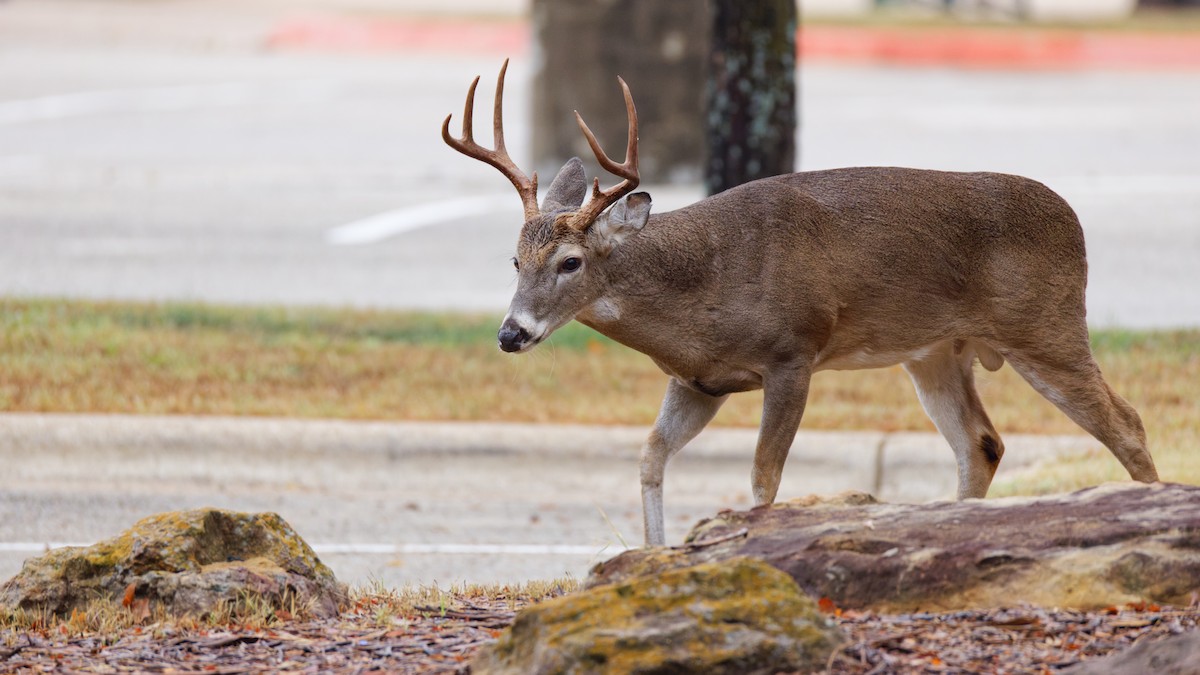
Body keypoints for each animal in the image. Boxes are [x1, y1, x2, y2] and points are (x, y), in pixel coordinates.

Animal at [442, 60, 1159, 547]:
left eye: (571, 262)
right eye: (515, 260)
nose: (511, 333)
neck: (704, 288)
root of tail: (1074, 221)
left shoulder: (793, 352)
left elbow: (764, 475)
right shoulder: (697, 380)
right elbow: (649, 456)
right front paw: (654, 556)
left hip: (1046, 322)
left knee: (1126, 422)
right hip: (935, 352)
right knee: (982, 443)